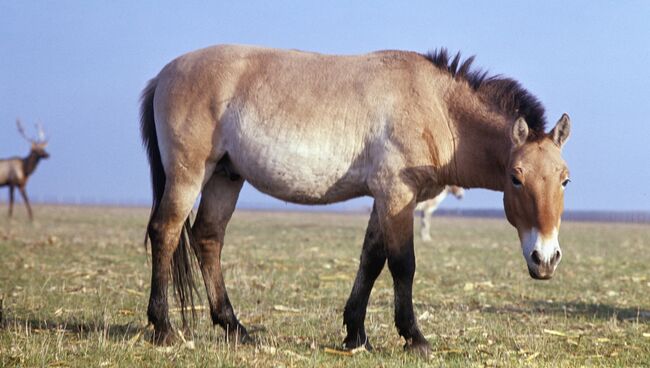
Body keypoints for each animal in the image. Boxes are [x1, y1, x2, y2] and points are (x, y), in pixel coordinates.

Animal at [139, 44, 568, 356]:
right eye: (516, 178)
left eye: (565, 179)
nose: (545, 259)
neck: (435, 105)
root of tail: (163, 75)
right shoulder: (397, 195)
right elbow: (402, 265)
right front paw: (414, 338)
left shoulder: (385, 200)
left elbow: (371, 261)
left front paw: (355, 334)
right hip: (189, 175)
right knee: (166, 233)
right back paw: (164, 328)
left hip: (226, 177)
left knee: (208, 238)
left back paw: (234, 327)